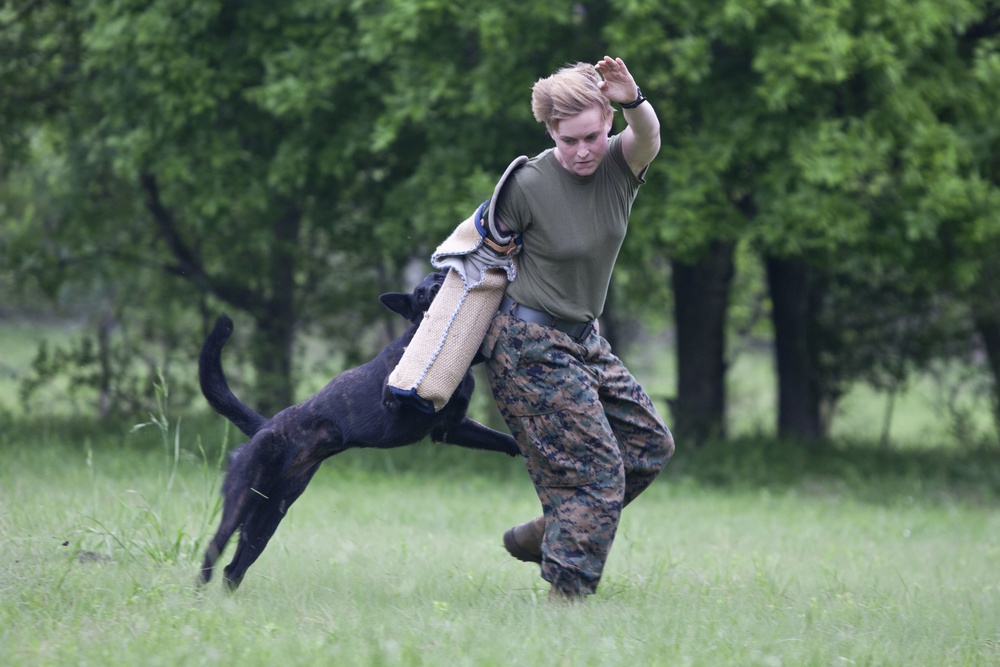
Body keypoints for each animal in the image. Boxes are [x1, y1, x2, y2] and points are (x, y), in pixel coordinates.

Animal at [199, 272, 520, 588]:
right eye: (419, 293)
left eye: (440, 276)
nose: (436, 288)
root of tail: (265, 427)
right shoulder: (394, 401)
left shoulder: (451, 428)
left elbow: (502, 438)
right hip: (242, 499)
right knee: (213, 550)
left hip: (267, 520)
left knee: (233, 570)